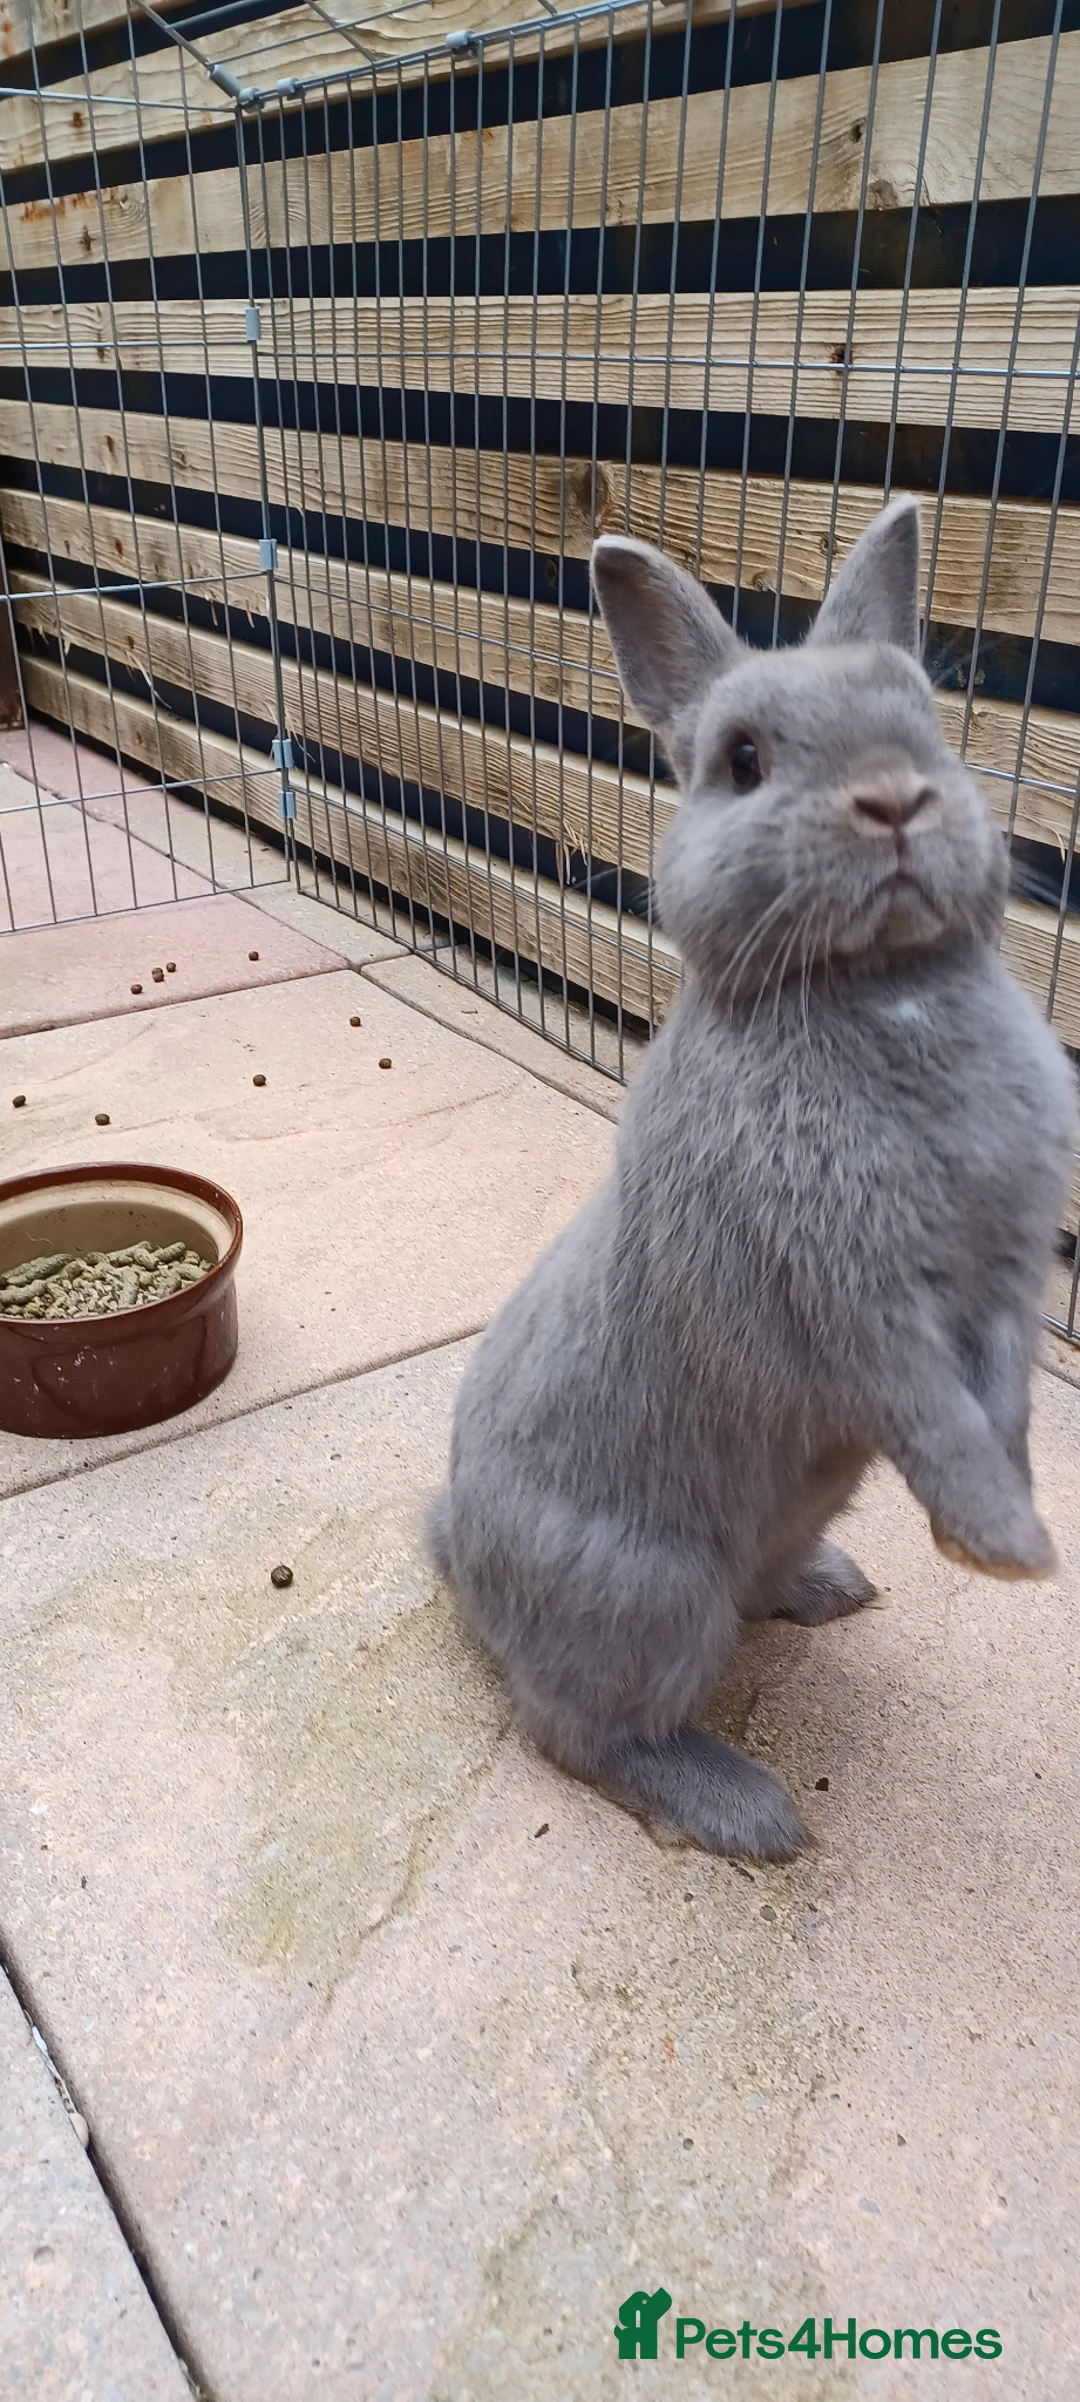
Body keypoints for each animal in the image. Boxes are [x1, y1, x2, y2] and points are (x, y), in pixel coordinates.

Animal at [427, 498, 1077, 1860]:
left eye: (927, 717)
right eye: (740, 761)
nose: (894, 800)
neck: (878, 985)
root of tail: (458, 1551)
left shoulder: (1003, 1281)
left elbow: (1000, 1404)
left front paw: (998, 1528)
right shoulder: (850, 1300)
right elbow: (933, 1413)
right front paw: (1009, 1552)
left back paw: (835, 1586)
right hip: (655, 1593)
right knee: (578, 1733)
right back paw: (746, 1810)